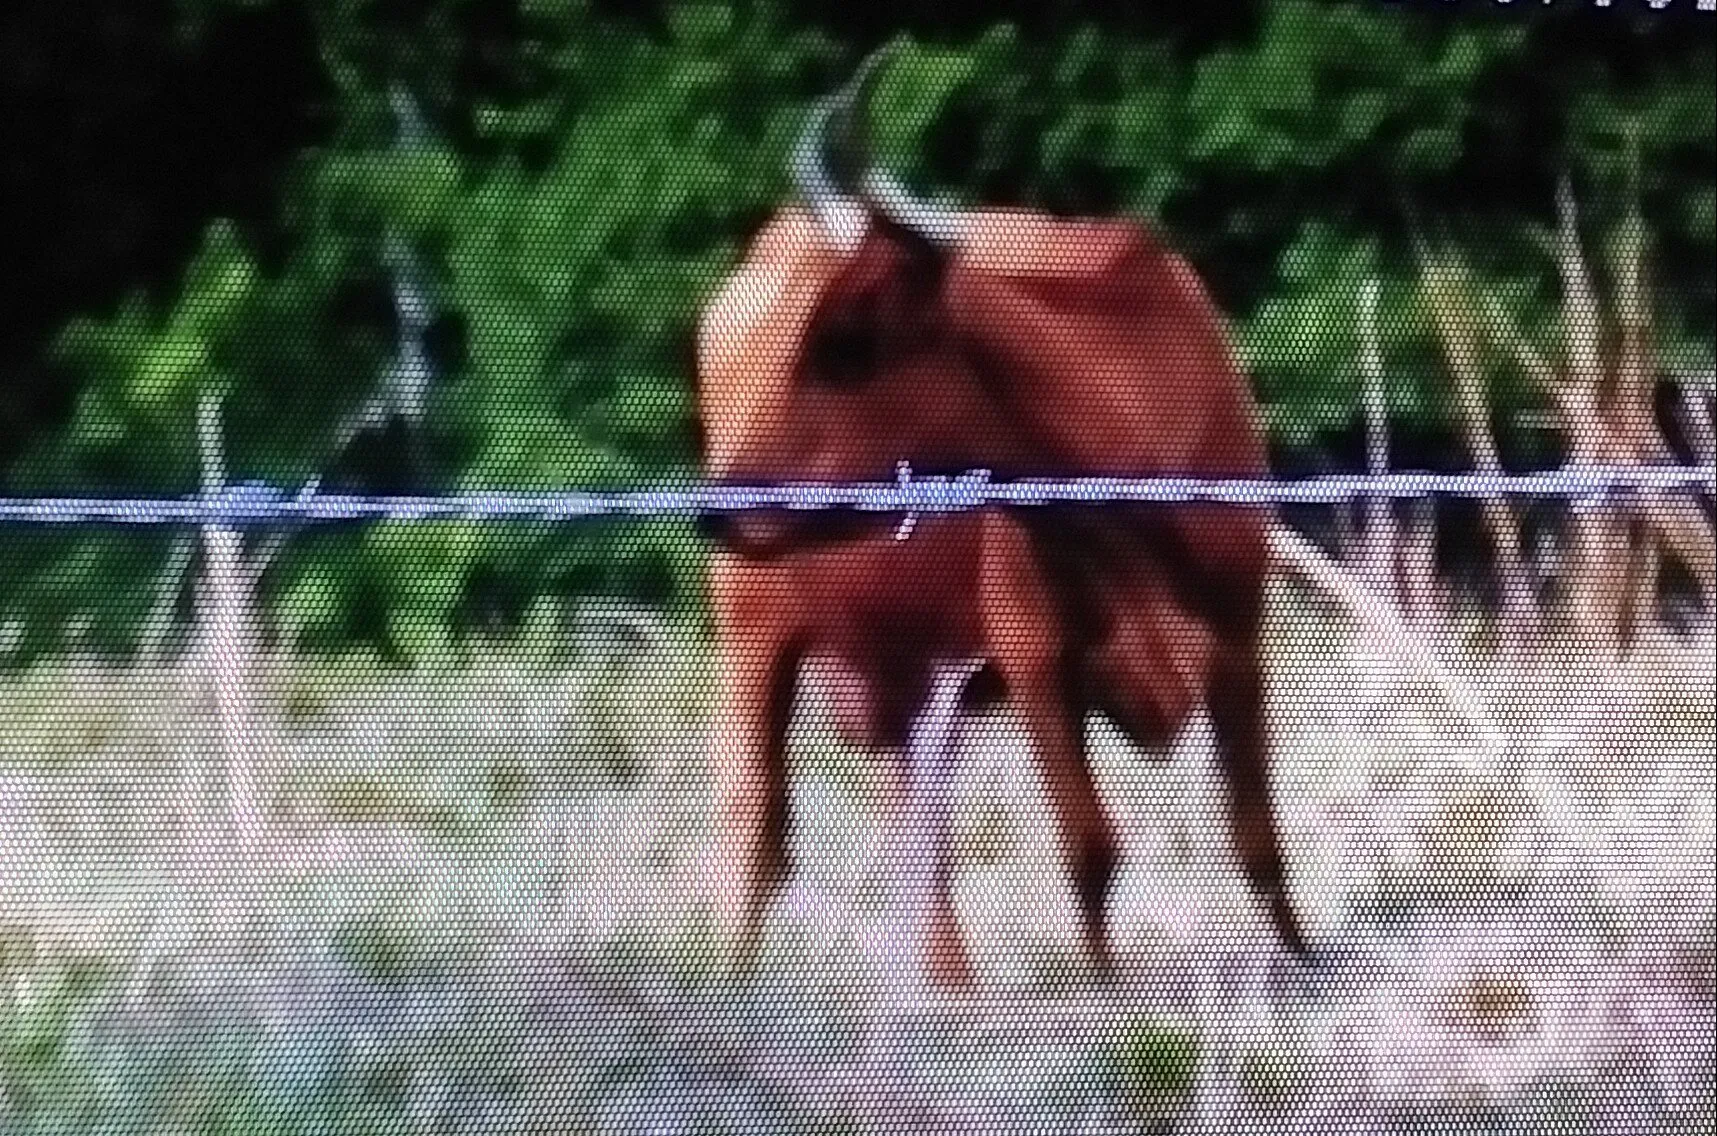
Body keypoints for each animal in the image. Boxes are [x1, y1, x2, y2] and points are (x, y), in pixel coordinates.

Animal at [694, 48, 1309, 985]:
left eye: (846, 346)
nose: (716, 507)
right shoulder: (1033, 655)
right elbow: (1090, 848)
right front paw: (1105, 993)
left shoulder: (1238, 633)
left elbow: (1259, 839)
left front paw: (1305, 966)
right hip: (753, 624)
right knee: (754, 822)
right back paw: (732, 982)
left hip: (904, 657)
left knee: (913, 816)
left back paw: (950, 986)